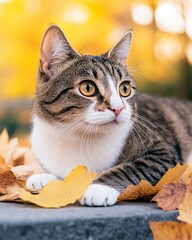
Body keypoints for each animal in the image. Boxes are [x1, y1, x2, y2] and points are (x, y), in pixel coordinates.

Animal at [26, 24, 192, 206]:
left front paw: (99, 188)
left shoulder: (162, 153)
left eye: (124, 88)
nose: (118, 108)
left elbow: (129, 169)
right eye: (87, 88)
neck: (77, 138)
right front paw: (44, 177)